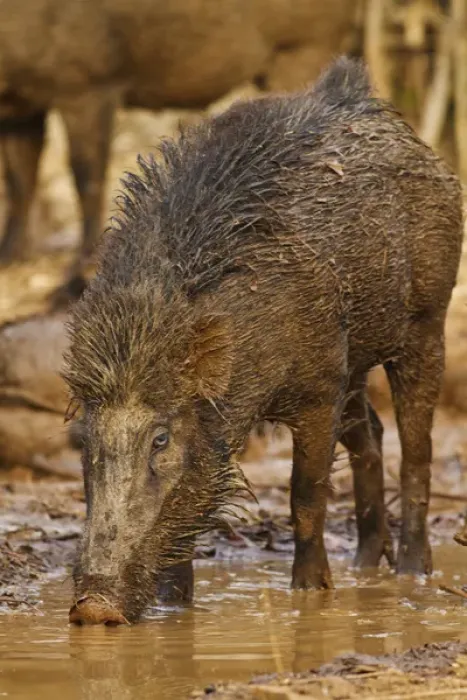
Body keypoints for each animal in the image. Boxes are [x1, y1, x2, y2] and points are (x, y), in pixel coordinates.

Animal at [0, 0, 356, 303]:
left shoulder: (86, 87)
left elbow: (86, 179)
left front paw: (67, 287)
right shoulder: (20, 110)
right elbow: (19, 180)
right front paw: (10, 258)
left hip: (301, 51)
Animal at [64, 57, 463, 624]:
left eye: (161, 438)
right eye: (84, 440)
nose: (93, 607)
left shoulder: (317, 387)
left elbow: (306, 493)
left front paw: (311, 595)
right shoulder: (326, 376)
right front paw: (173, 612)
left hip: (428, 320)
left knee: (416, 449)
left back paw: (411, 573)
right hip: (354, 361)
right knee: (371, 436)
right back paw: (366, 566)